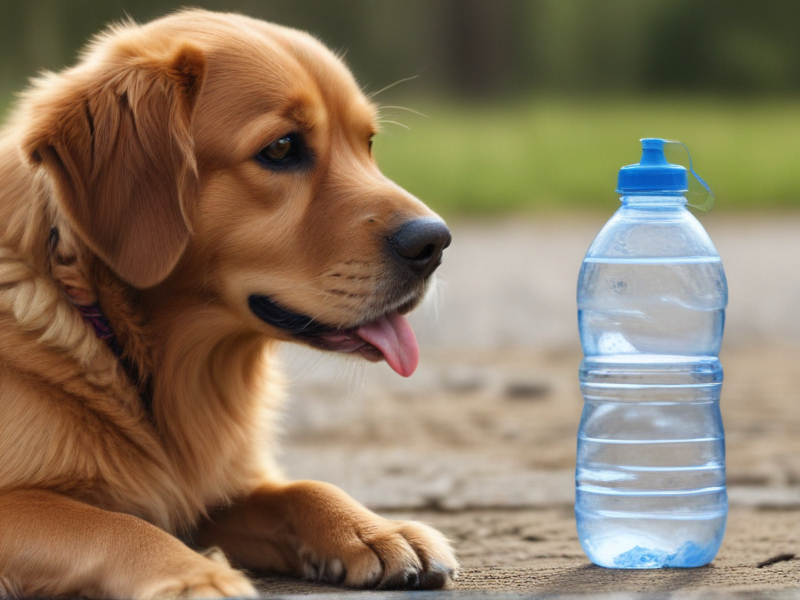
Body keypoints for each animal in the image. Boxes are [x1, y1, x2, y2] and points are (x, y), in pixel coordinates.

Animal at [0, 10, 456, 600]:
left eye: (368, 143)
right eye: (281, 148)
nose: (435, 243)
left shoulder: (213, 492)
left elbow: (300, 489)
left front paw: (373, 530)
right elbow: (110, 524)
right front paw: (198, 578)